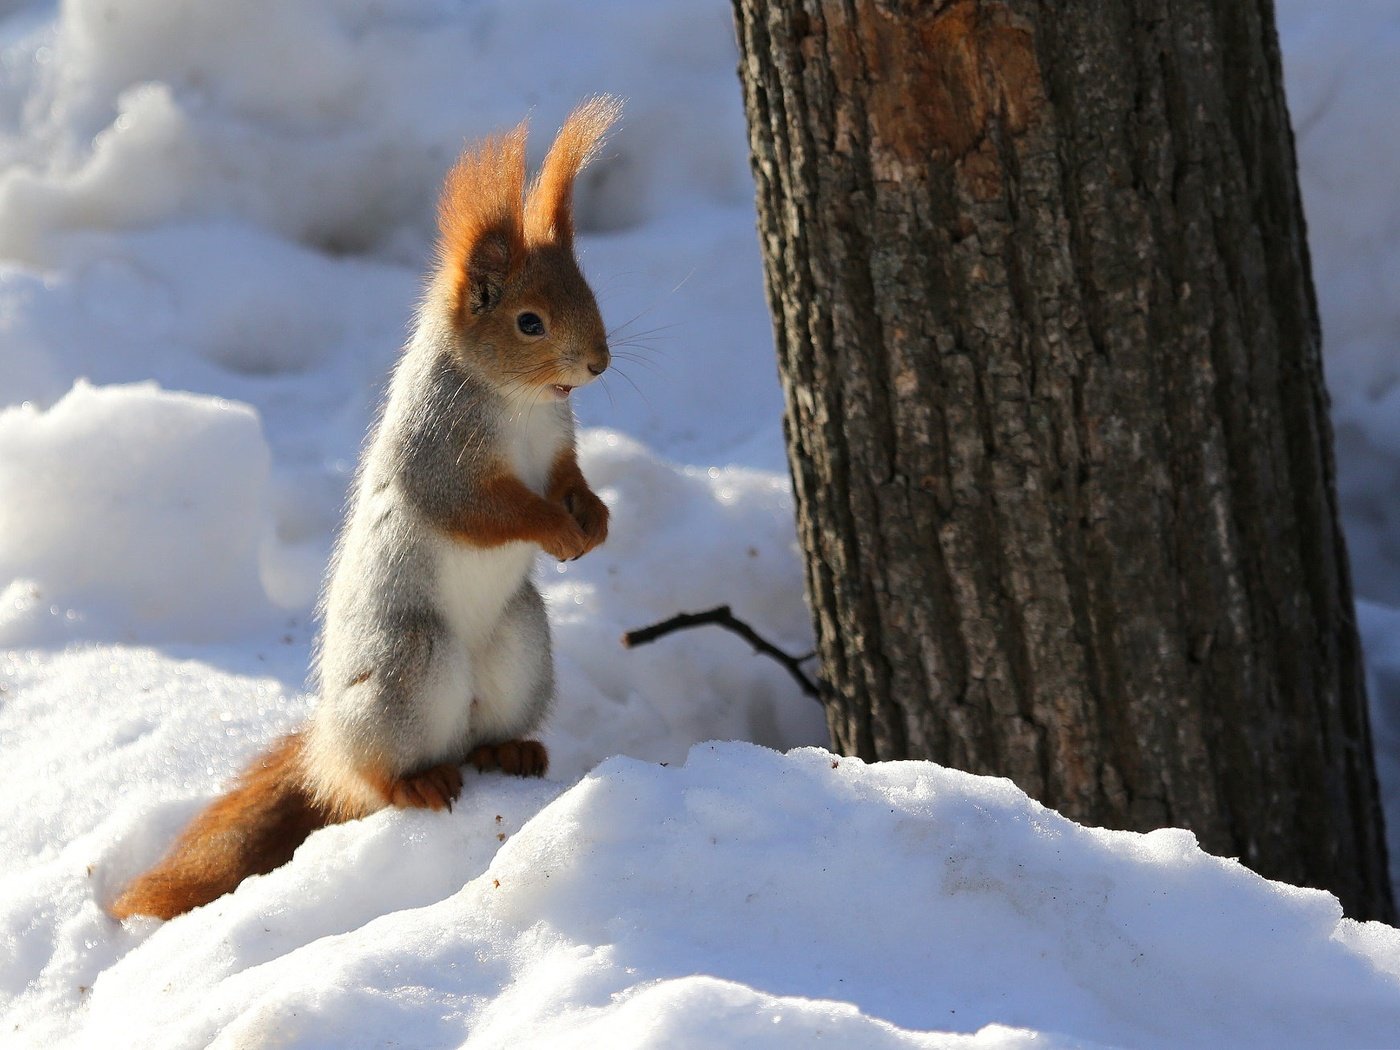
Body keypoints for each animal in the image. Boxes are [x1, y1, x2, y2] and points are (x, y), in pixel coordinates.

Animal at [103, 98, 618, 918]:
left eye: (590, 292)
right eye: (529, 322)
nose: (598, 362)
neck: (521, 404)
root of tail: (329, 749)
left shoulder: (556, 449)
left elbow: (570, 478)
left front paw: (593, 519)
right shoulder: (437, 456)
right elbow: (483, 511)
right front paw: (553, 529)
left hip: (521, 645)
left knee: (483, 734)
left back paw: (509, 747)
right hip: (408, 662)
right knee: (376, 784)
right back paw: (416, 781)